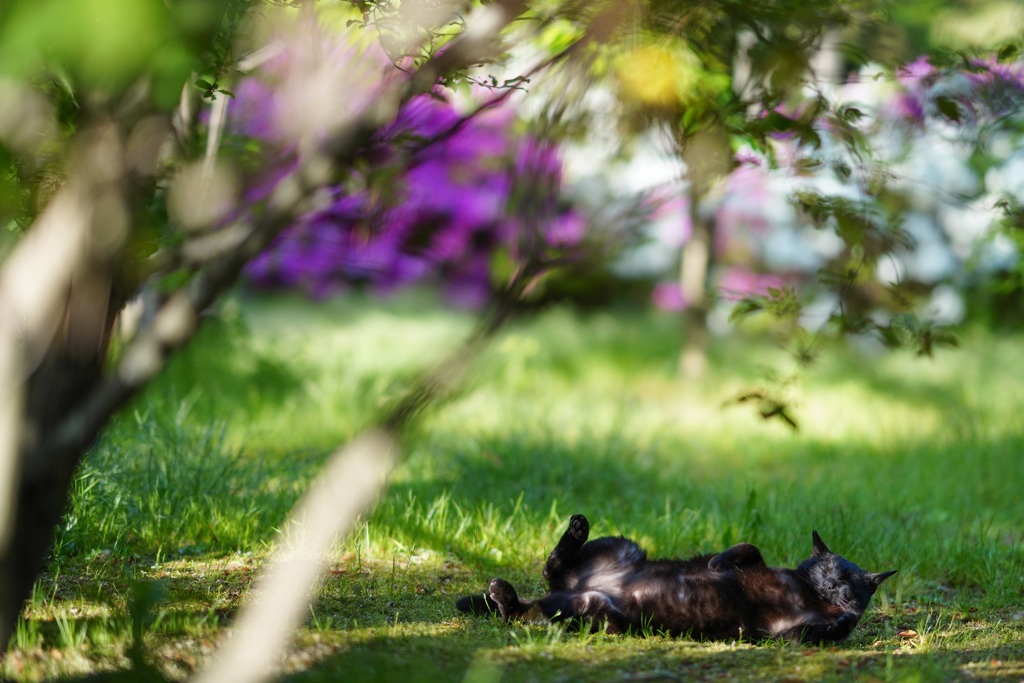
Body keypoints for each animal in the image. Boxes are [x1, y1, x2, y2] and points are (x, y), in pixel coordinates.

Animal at [458, 516, 897, 643]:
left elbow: (831, 630)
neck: (809, 596)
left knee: (525, 612)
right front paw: (718, 563)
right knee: (550, 569)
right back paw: (577, 527)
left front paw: (842, 620)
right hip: (623, 546)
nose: (836, 588)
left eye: (851, 582)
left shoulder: (785, 634)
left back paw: (503, 595)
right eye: (829, 571)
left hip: (590, 611)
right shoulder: (761, 564)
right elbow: (748, 546)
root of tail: (573, 591)